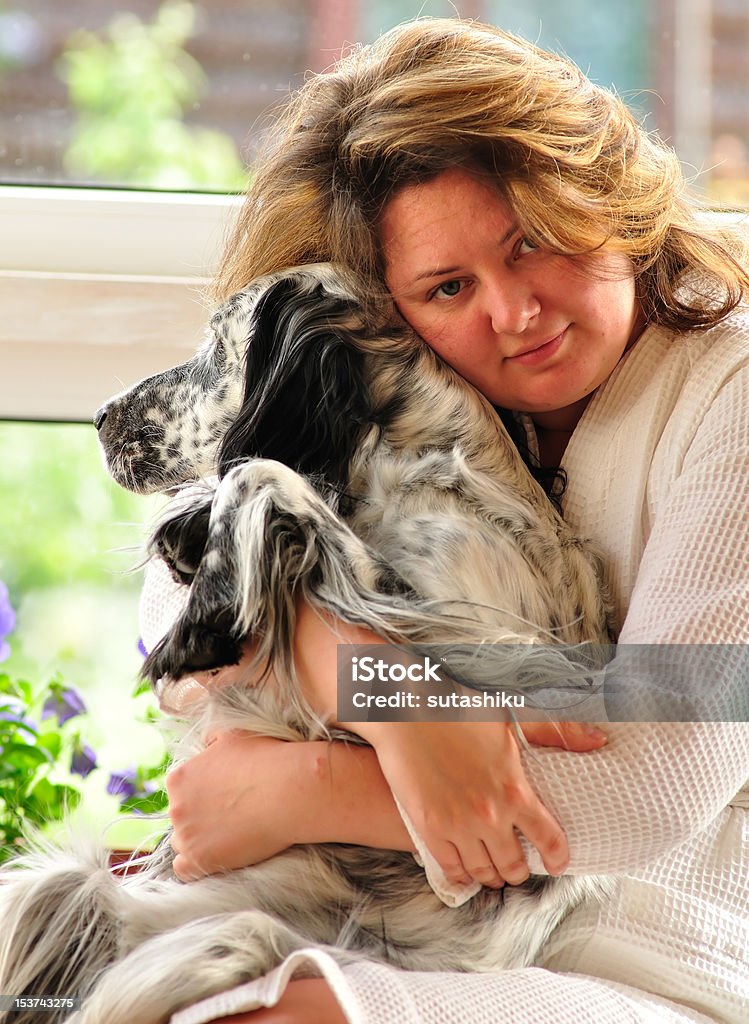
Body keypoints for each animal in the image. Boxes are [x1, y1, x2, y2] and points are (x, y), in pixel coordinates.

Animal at [0, 264, 610, 1024]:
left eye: (216, 345)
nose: (99, 416)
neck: (419, 470)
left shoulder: (479, 653)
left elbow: (259, 474)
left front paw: (204, 617)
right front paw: (191, 541)